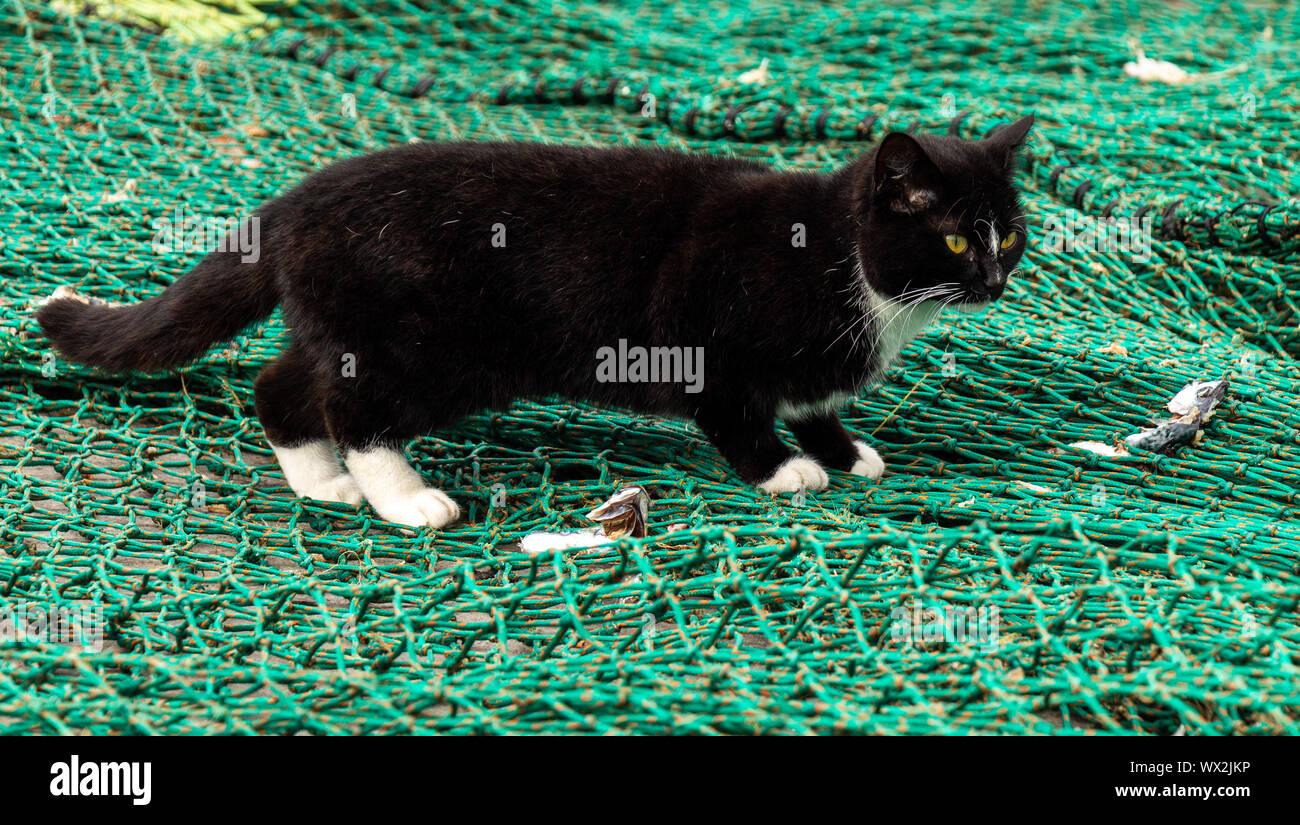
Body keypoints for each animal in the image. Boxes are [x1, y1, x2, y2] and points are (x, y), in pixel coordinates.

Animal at [35, 116, 1034, 530]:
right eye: (954, 238)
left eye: (1013, 234)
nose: (992, 279)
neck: (848, 269)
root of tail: (289, 204)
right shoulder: (706, 339)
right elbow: (736, 411)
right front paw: (786, 468)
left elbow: (815, 399)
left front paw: (843, 446)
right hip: (428, 350)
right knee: (352, 408)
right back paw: (405, 499)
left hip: (344, 327)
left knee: (279, 384)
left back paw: (322, 484)